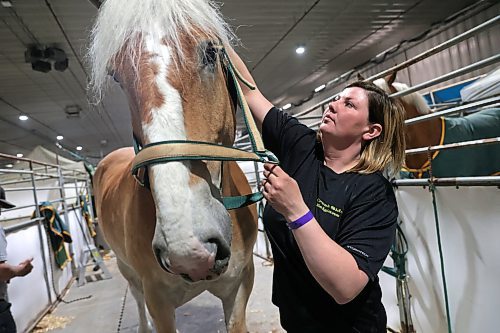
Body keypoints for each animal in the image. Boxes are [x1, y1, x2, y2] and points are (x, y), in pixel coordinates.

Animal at [90, 1, 260, 330]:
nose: (188, 249)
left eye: (211, 52)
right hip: (127, 270)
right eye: (117, 77)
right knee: (136, 297)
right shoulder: (159, 302)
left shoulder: (240, 287)